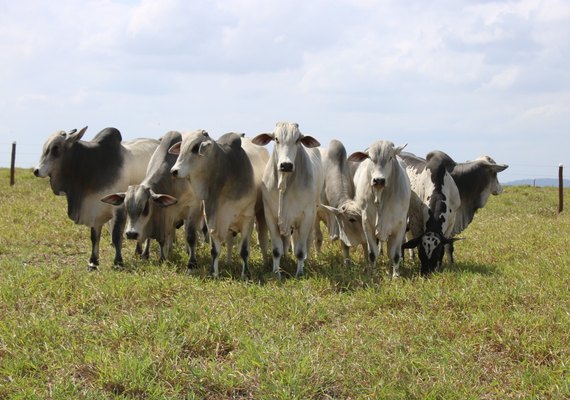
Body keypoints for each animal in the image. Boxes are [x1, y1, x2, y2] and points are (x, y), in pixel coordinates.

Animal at [33, 126, 159, 270]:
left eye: (55, 148)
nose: (36, 170)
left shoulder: (119, 208)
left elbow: (116, 236)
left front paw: (118, 262)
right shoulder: (94, 208)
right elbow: (94, 237)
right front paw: (93, 262)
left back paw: (145, 253)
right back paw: (138, 251)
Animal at [101, 131, 204, 268]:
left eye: (145, 208)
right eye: (126, 207)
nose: (131, 234)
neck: (172, 181)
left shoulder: (193, 207)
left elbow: (190, 236)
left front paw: (192, 262)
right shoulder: (163, 214)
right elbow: (156, 238)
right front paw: (151, 255)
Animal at [251, 122, 322, 278]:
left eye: (297, 140)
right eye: (276, 139)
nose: (286, 165)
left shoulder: (306, 216)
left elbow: (300, 251)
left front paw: (299, 272)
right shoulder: (270, 216)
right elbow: (276, 249)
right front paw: (276, 272)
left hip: (313, 214)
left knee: (307, 242)